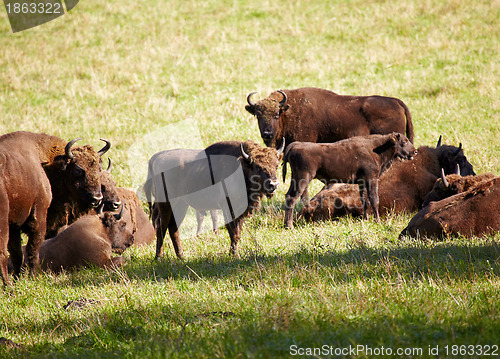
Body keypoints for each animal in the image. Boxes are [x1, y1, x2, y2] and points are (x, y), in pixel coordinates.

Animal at [0, 131, 105, 286]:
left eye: (99, 169)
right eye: (78, 170)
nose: (96, 198)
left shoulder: (14, 225)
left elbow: (17, 254)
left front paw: (18, 278)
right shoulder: (38, 217)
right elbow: (33, 250)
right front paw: (32, 278)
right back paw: (8, 286)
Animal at [146, 140, 286, 258]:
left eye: (276, 165)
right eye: (257, 166)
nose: (273, 184)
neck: (242, 167)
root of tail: (157, 157)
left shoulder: (241, 211)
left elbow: (237, 233)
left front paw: (234, 253)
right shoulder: (228, 208)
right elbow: (233, 232)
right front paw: (235, 255)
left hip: (181, 205)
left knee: (173, 227)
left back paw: (181, 256)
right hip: (166, 203)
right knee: (162, 227)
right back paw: (159, 257)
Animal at [284, 132, 416, 228]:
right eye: (404, 141)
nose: (414, 151)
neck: (377, 148)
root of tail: (295, 145)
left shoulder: (362, 182)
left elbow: (364, 200)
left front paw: (366, 218)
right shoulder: (371, 180)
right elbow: (374, 199)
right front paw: (377, 221)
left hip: (296, 179)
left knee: (292, 196)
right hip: (303, 178)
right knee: (292, 198)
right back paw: (289, 226)